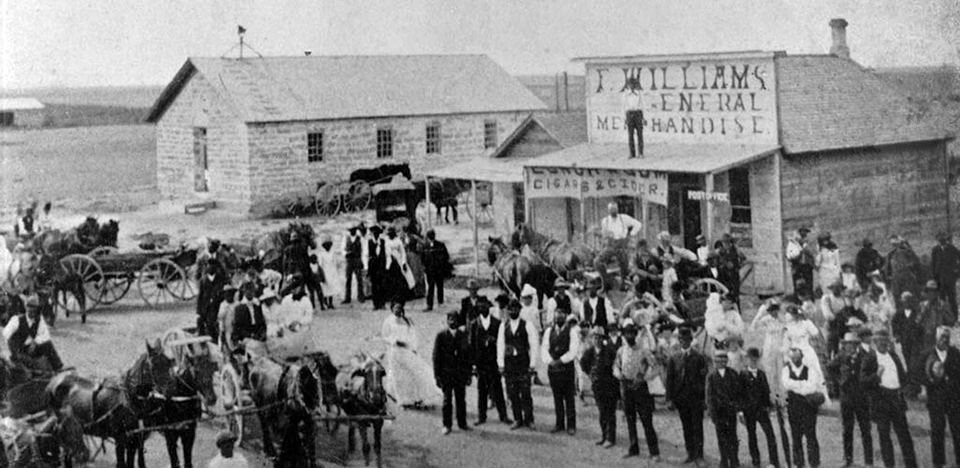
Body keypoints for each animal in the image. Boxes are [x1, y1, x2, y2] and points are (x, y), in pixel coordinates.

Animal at [45, 340, 177, 468]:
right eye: (153, 365)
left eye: (168, 363)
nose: (171, 390)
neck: (129, 400)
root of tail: (54, 380)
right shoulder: (120, 440)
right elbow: (121, 464)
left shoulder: (134, 442)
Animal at [244, 338, 322, 466]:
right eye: (301, 386)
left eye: (315, 387)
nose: (313, 407)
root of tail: (255, 366)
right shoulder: (290, 420)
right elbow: (292, 441)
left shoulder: (307, 421)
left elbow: (309, 447)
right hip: (259, 406)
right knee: (265, 427)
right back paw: (269, 451)